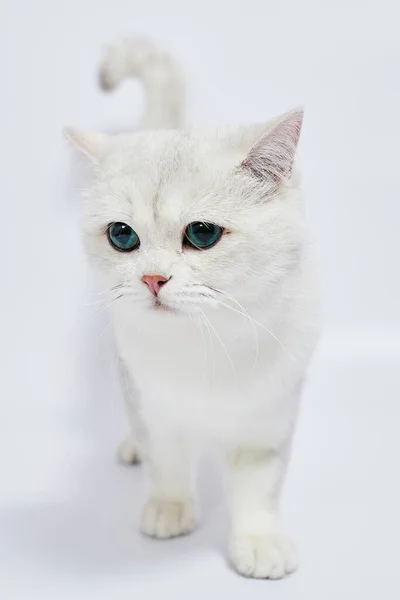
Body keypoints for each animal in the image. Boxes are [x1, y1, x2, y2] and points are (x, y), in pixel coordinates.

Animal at [67, 38, 320, 580]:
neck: (205, 343)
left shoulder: (271, 414)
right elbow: (166, 461)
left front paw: (258, 541)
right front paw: (170, 509)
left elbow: (257, 485)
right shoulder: (147, 399)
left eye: (202, 234)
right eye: (123, 236)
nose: (152, 279)